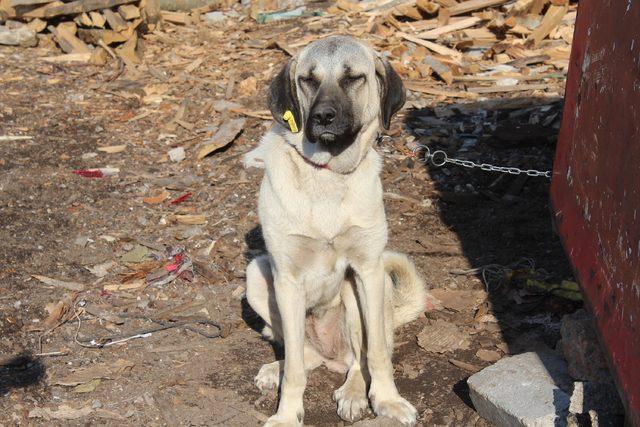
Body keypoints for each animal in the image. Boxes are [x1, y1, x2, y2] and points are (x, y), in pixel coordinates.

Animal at [244, 35, 424, 426]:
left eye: (353, 77)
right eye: (307, 80)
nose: (323, 116)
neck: (327, 174)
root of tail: (331, 355)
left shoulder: (368, 268)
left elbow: (377, 354)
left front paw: (387, 399)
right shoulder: (286, 280)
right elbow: (295, 369)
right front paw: (286, 414)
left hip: (360, 293)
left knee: (360, 357)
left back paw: (354, 393)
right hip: (256, 275)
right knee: (303, 355)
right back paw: (276, 369)